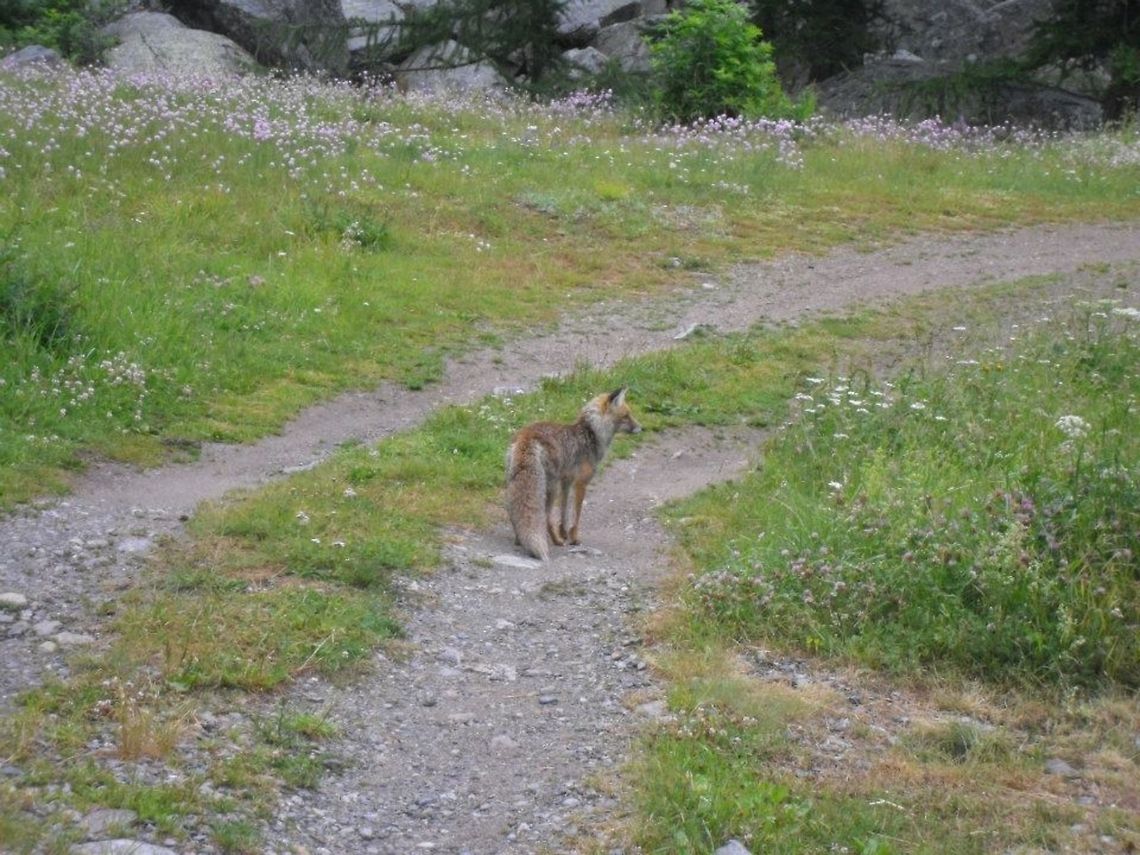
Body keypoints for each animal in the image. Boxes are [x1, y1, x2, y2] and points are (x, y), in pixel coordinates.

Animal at [505, 387, 642, 562]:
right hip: (551, 488)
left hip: (515, 482)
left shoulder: (567, 481)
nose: (641, 428)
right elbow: (576, 514)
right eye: (626, 416)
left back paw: (520, 540)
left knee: (513, 511)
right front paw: (573, 538)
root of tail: (527, 435)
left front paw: (564, 532)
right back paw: (556, 541)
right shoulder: (581, 483)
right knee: (546, 517)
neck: (591, 434)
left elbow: (564, 511)